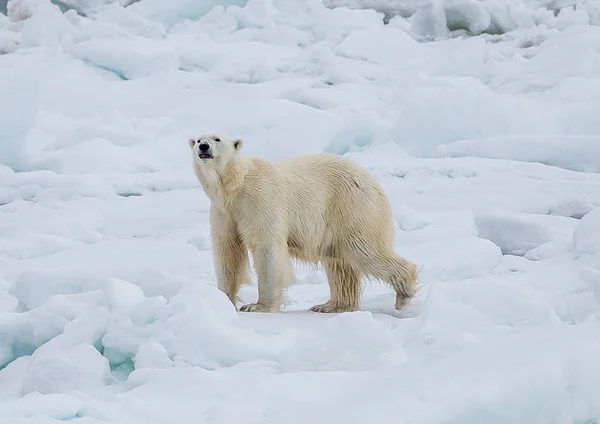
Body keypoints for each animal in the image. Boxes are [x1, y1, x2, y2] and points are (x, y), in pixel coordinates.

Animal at [190, 134, 420, 314]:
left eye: (217, 139)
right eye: (198, 139)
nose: (204, 147)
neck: (235, 186)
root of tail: (374, 183)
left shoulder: (259, 200)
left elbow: (266, 248)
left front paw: (258, 306)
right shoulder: (224, 212)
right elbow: (227, 249)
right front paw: (223, 299)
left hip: (351, 208)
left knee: (364, 250)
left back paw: (404, 293)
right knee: (340, 264)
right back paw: (331, 305)